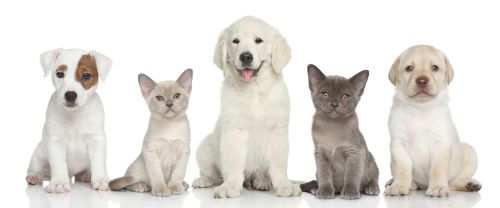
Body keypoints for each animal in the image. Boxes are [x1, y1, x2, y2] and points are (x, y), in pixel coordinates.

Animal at [26, 48, 112, 193]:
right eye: (59, 74)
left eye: (86, 76)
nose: (70, 95)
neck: (75, 115)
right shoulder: (56, 142)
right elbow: (59, 164)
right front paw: (59, 183)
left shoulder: (97, 140)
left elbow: (98, 162)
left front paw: (100, 180)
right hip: (38, 157)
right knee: (36, 170)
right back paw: (35, 177)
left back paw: (85, 175)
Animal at [109, 69, 193, 197]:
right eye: (159, 98)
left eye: (177, 96)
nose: (169, 104)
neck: (170, 124)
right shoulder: (150, 151)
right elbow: (157, 174)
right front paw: (161, 189)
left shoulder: (184, 152)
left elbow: (178, 174)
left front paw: (175, 187)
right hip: (136, 169)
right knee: (127, 183)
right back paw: (141, 186)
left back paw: (183, 184)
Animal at [192, 16, 300, 198]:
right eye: (236, 41)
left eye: (258, 40)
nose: (246, 57)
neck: (254, 90)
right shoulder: (234, 129)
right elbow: (233, 162)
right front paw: (230, 186)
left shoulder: (277, 129)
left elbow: (278, 163)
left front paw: (284, 184)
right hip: (204, 148)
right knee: (213, 175)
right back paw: (204, 180)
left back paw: (263, 182)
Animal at [300, 64, 378, 199]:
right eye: (325, 94)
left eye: (345, 96)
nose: (334, 104)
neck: (332, 126)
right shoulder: (321, 154)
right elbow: (324, 174)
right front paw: (325, 191)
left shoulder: (355, 152)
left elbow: (351, 175)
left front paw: (350, 192)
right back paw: (318, 189)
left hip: (371, 161)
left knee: (373, 177)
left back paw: (371, 188)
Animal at [384, 45, 482, 197]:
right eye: (409, 68)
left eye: (435, 68)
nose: (422, 81)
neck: (420, 108)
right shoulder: (398, 144)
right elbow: (401, 168)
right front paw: (399, 185)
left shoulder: (441, 143)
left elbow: (438, 169)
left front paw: (438, 187)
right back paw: (399, 183)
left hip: (469, 151)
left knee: (454, 182)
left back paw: (470, 184)